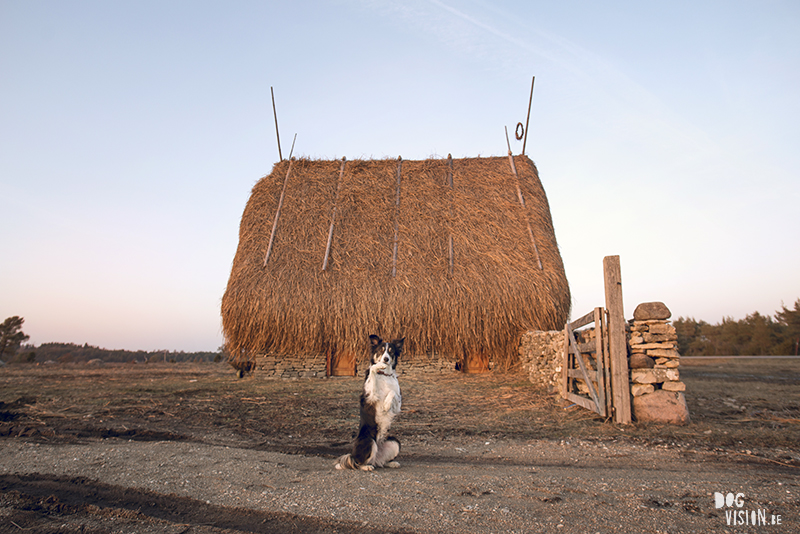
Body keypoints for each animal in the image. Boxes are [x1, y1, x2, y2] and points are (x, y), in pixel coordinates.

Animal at [334, 338, 404, 472]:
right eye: (381, 351)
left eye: (391, 351)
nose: (386, 359)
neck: (384, 375)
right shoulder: (370, 396)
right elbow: (372, 371)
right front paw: (377, 366)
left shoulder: (397, 405)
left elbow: (393, 393)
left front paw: (386, 405)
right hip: (369, 441)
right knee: (358, 463)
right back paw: (366, 466)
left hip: (394, 442)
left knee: (380, 462)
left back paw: (391, 463)